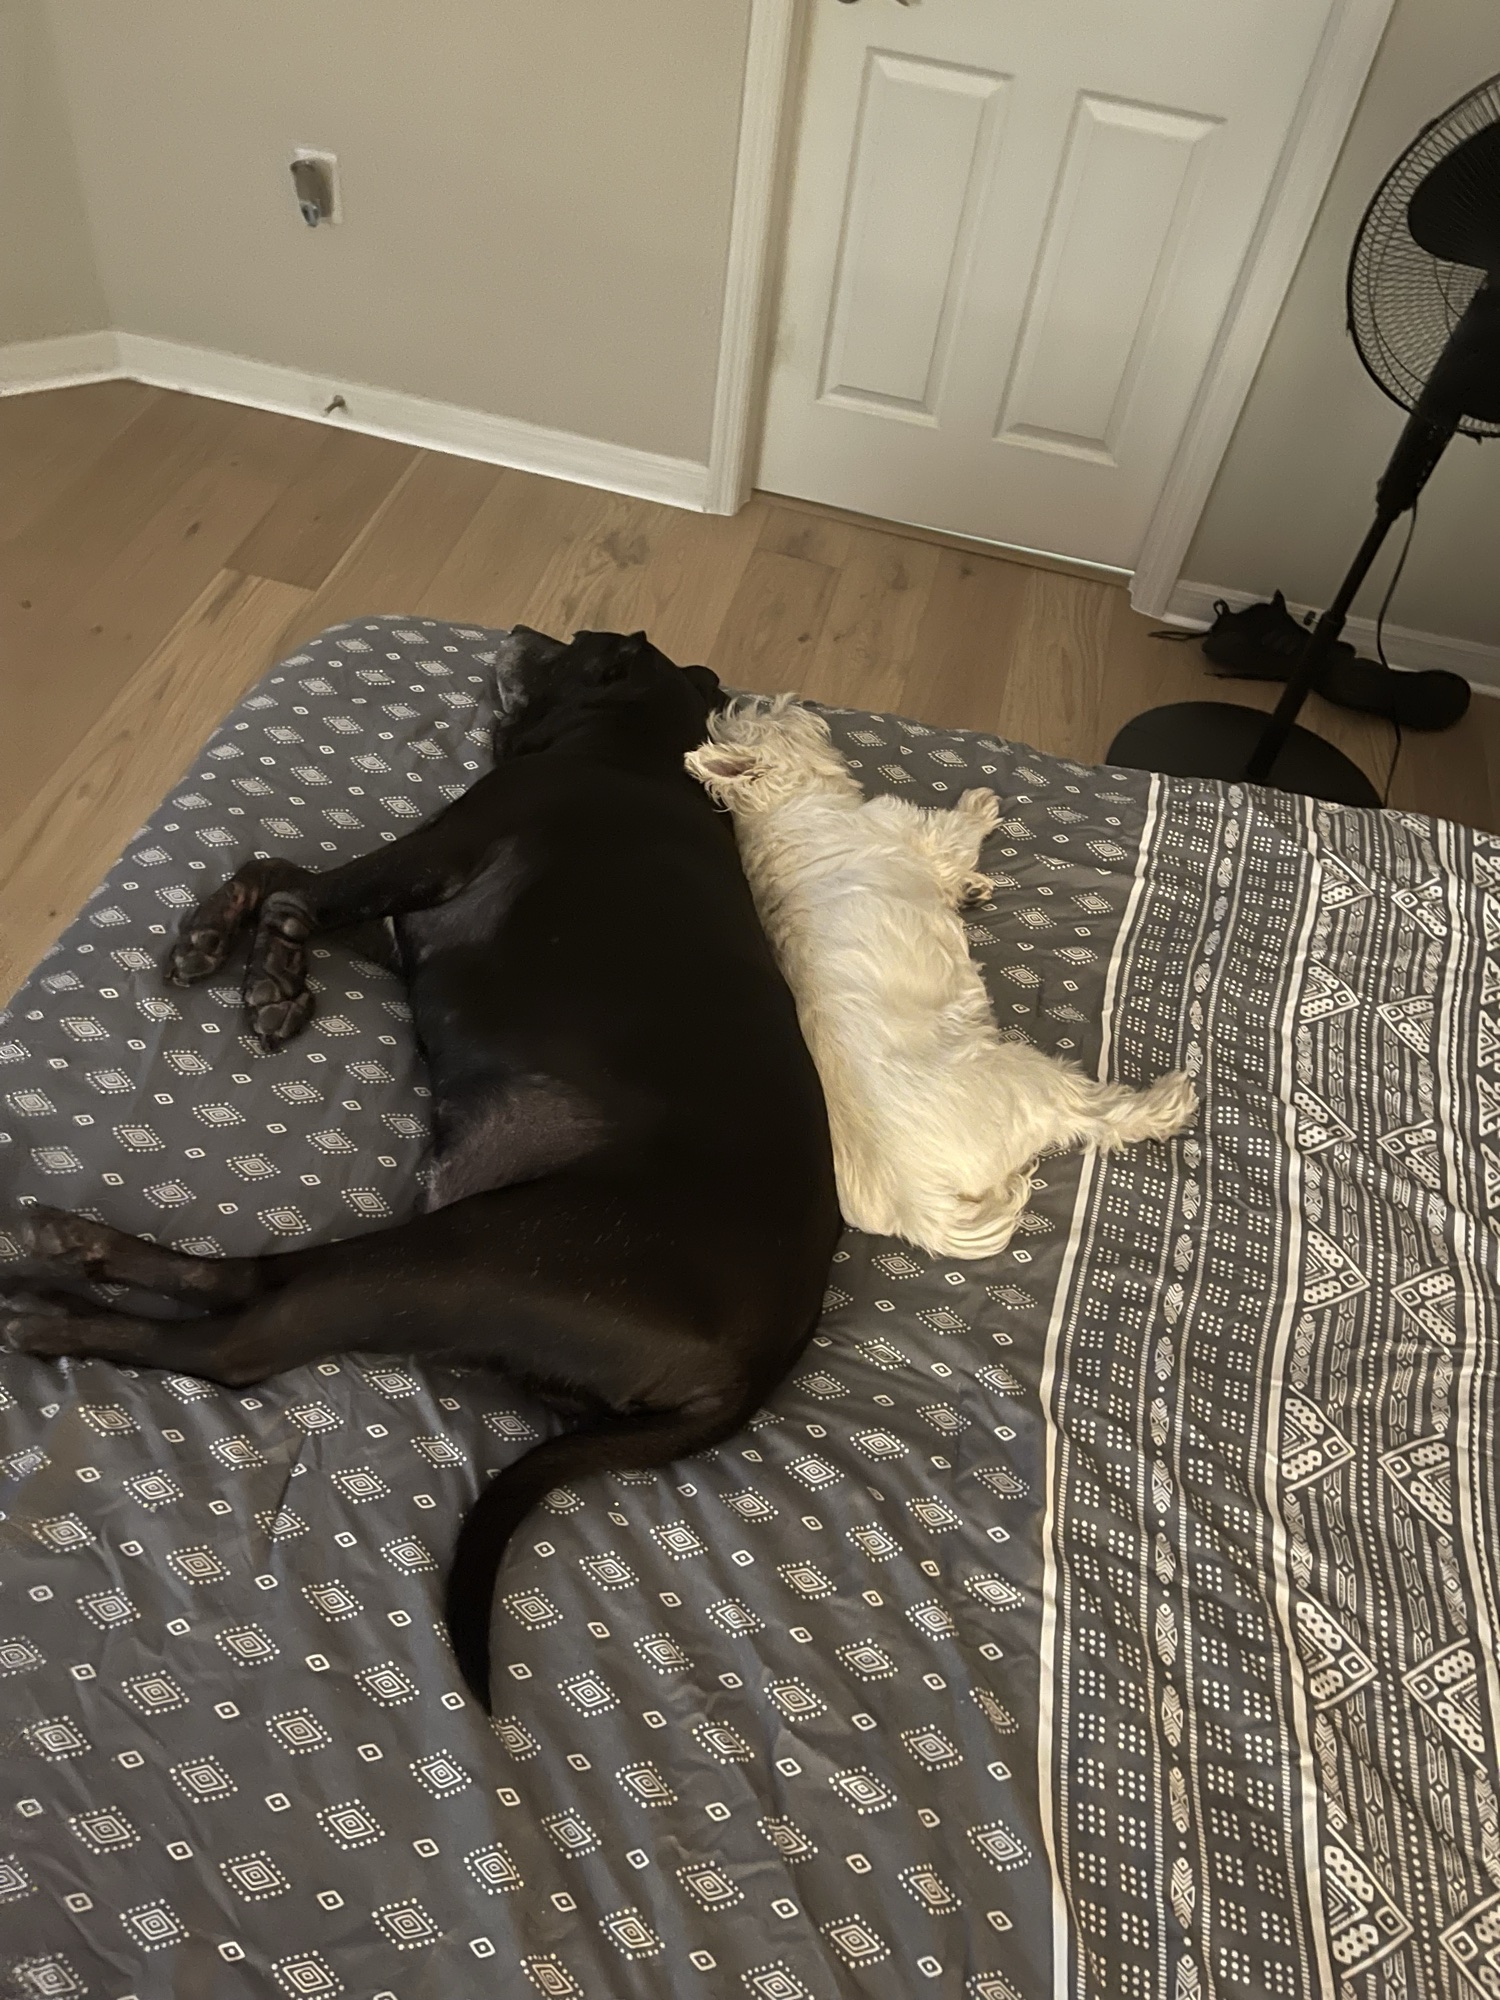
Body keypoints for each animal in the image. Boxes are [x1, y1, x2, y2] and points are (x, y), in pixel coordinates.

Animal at [1, 632, 840, 1708]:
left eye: (582, 643)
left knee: (243, 1336)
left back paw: (59, 1299)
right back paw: (67, 1261)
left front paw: (261, 956)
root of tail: (761, 1365)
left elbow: (296, 883)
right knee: (256, 1283)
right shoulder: (402, 920)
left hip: (473, 1251)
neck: (638, 751)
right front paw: (237, 950)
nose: (522, 630)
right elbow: (272, 863)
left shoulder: (431, 854)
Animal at [686, 698, 1197, 1258]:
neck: (777, 807)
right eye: (769, 716)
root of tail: (920, 1210)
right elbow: (958, 832)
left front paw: (970, 888)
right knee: (1098, 1115)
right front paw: (979, 804)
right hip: (1026, 1078)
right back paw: (1166, 1102)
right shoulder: (919, 836)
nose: (798, 704)